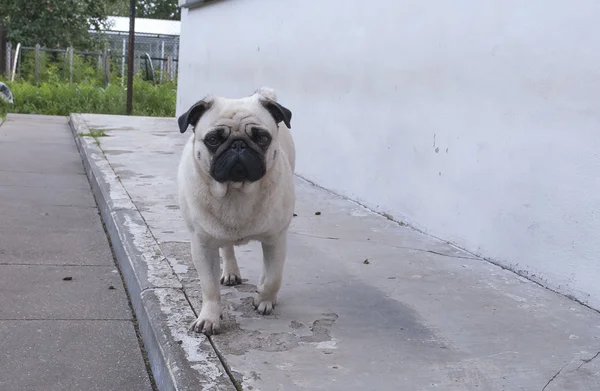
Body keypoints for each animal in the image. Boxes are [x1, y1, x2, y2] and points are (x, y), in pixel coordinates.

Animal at [176, 87, 296, 336]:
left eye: (262, 138)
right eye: (213, 140)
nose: (238, 145)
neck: (236, 191)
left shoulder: (276, 239)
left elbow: (274, 276)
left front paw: (264, 299)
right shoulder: (202, 245)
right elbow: (209, 287)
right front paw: (209, 317)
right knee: (227, 248)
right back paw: (231, 272)